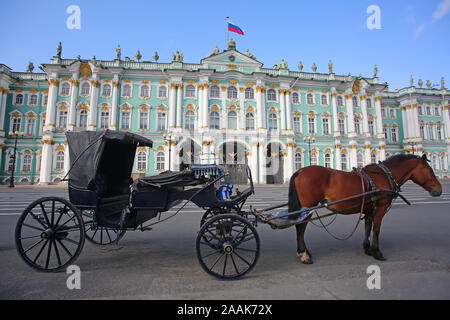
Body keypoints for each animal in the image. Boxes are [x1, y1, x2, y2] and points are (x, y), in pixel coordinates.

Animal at [288, 154, 442, 264]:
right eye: (430, 170)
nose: (439, 190)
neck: (384, 175)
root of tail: (300, 171)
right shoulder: (380, 208)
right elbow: (377, 229)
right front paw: (377, 252)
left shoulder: (369, 209)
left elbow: (368, 227)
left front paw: (367, 249)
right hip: (307, 208)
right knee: (301, 228)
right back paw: (304, 255)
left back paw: (305, 253)